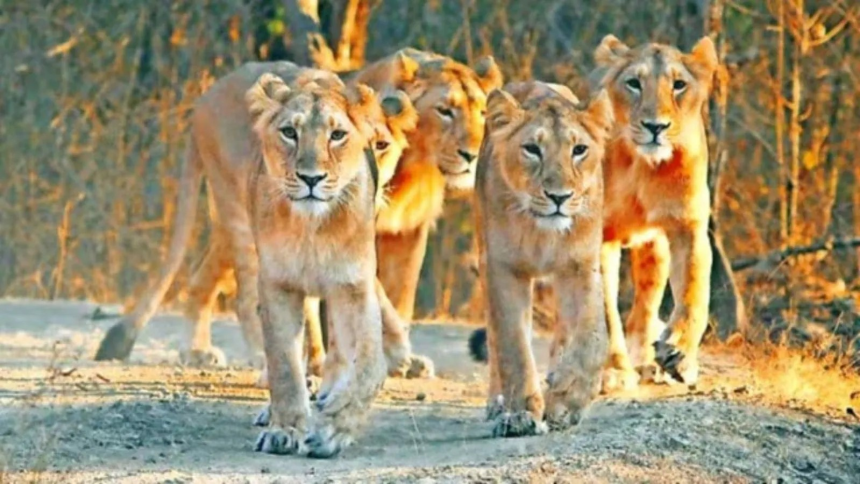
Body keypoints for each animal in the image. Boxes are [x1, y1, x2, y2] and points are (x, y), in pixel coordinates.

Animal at [93, 61, 418, 380]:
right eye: (289, 134)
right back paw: (263, 359)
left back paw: (197, 351)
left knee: (201, 278)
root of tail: (203, 102)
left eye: (381, 144)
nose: (313, 178)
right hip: (240, 219)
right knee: (246, 299)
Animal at [245, 73, 386, 458]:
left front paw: (331, 430)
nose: (311, 178)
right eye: (289, 132)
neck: (313, 228)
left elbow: (370, 368)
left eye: (336, 135)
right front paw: (285, 429)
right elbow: (284, 365)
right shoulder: (277, 284)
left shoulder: (355, 287)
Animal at [476, 81, 611, 437]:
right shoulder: (502, 268)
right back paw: (497, 406)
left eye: (579, 149)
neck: (543, 235)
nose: (559, 197)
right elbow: (512, 346)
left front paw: (566, 399)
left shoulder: (581, 267)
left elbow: (594, 338)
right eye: (531, 149)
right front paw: (520, 414)